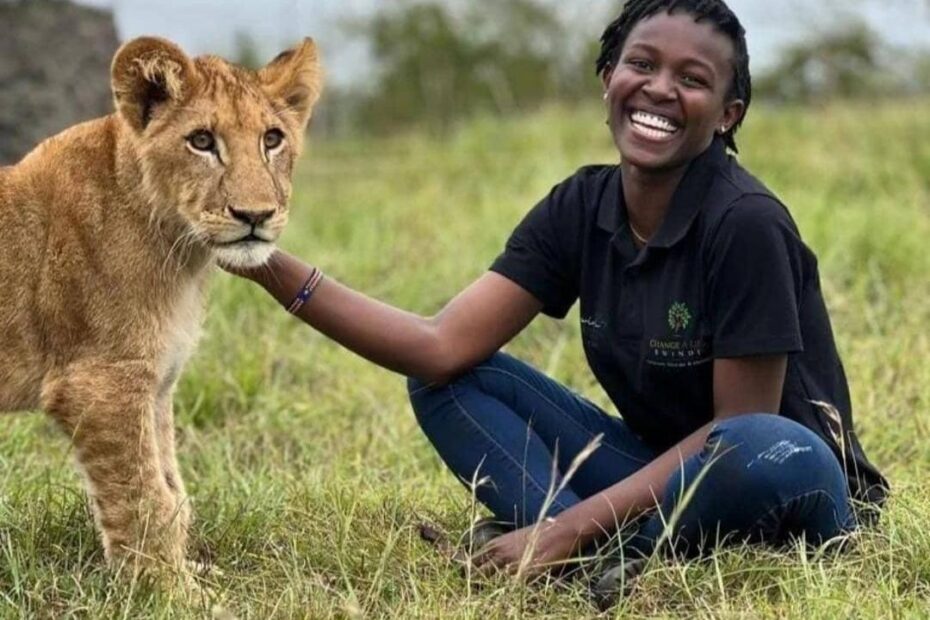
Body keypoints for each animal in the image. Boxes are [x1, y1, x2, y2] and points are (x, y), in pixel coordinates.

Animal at [0, 36, 322, 579]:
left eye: (273, 139)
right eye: (202, 141)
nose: (255, 215)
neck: (182, 257)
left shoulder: (157, 382)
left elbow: (172, 490)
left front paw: (188, 574)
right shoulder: (100, 382)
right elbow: (142, 497)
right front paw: (167, 589)